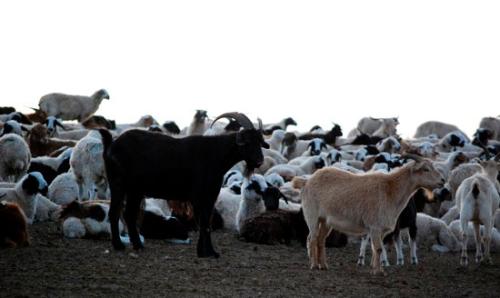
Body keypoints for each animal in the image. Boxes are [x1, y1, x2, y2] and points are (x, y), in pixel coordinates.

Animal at [98, 110, 270, 258]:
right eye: (247, 142)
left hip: (135, 190)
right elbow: (202, 223)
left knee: (129, 214)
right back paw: (119, 245)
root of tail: (111, 145)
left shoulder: (211, 195)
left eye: (260, 141)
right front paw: (203, 252)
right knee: (115, 213)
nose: (259, 161)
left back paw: (138, 245)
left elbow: (207, 222)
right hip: (118, 183)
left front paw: (211, 252)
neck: (215, 154)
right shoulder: (197, 195)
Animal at [294, 156, 444, 274]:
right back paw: (314, 265)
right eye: (425, 169)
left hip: (325, 220)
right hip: (312, 215)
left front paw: (375, 268)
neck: (391, 190)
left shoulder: (380, 230)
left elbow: (376, 249)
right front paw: (378, 271)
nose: (442, 180)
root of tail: (306, 181)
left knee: (320, 240)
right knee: (312, 238)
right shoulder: (375, 226)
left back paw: (324, 266)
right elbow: (378, 249)